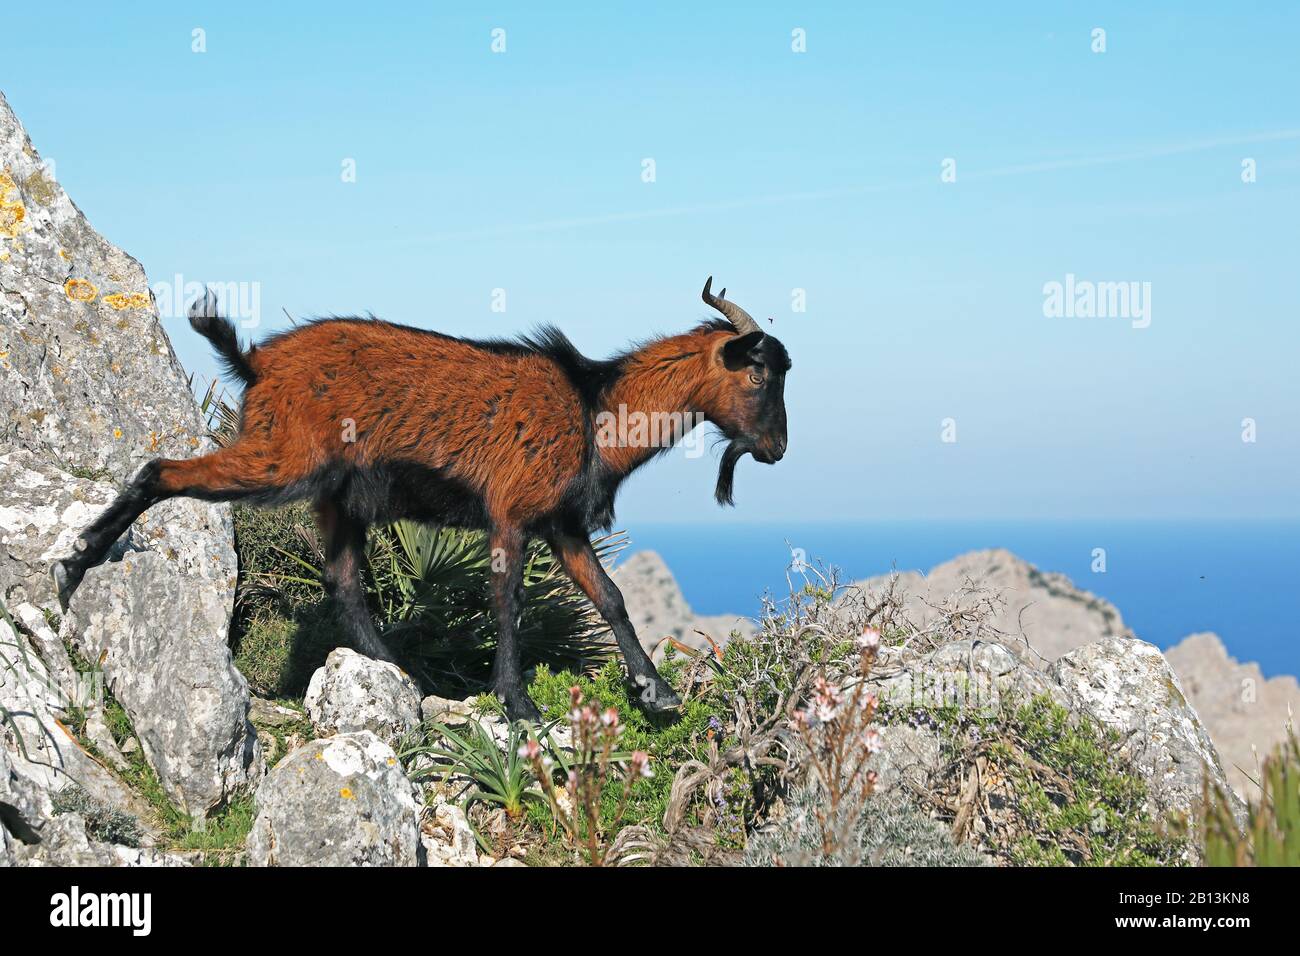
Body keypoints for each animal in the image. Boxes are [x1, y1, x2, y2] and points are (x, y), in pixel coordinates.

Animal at [53, 278, 791, 721]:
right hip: (280, 458)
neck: (593, 406)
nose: (778, 449)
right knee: (162, 471)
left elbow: (610, 596)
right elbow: (508, 602)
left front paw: (655, 691)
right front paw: (517, 703)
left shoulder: (562, 525)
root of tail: (257, 364)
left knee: (343, 581)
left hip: (334, 498)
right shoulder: (512, 513)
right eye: (758, 373)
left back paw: (396, 671)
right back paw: (75, 563)